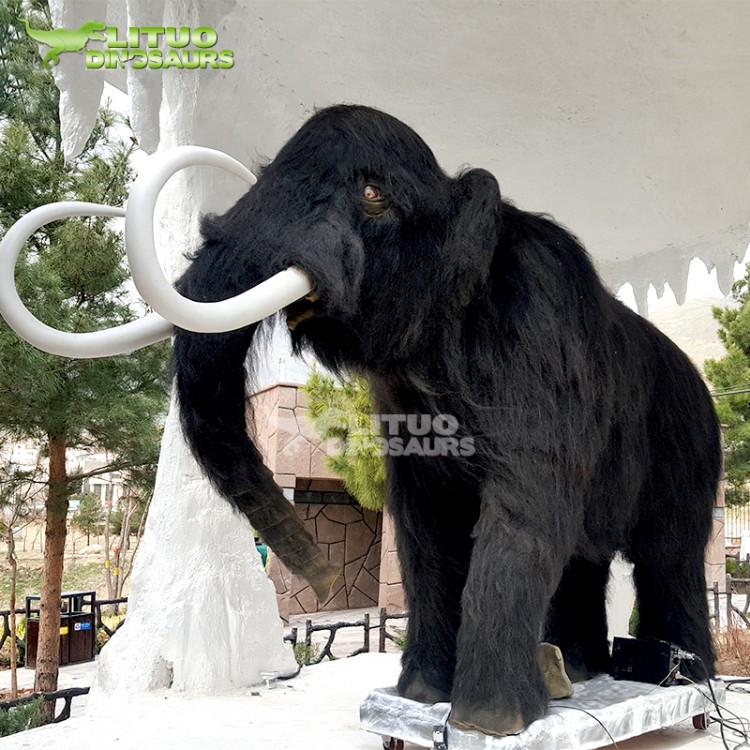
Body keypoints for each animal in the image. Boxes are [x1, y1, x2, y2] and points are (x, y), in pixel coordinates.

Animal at [171, 104, 721, 736]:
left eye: (372, 192)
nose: (326, 579)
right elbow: (425, 523)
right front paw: (419, 697)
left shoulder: (541, 333)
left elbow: (524, 508)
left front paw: (489, 721)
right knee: (585, 557)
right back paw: (580, 672)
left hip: (689, 453)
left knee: (668, 558)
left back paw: (682, 679)